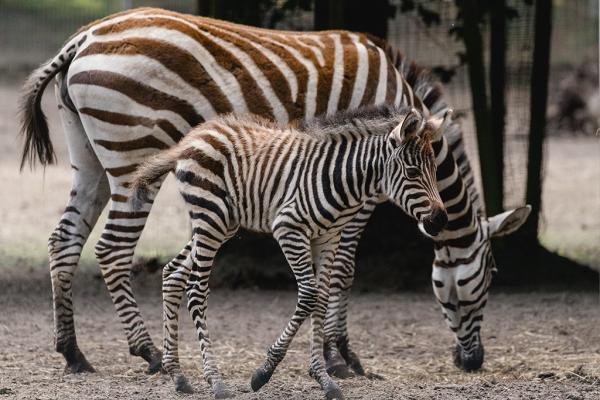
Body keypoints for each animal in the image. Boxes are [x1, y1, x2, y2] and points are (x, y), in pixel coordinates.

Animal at [131, 104, 448, 398]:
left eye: (435, 170)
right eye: (412, 172)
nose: (441, 220)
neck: (341, 180)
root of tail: (193, 136)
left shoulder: (329, 237)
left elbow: (321, 299)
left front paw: (324, 379)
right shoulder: (289, 229)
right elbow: (308, 295)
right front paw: (264, 372)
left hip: (220, 225)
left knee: (172, 273)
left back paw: (178, 376)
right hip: (210, 217)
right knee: (196, 290)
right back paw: (215, 381)